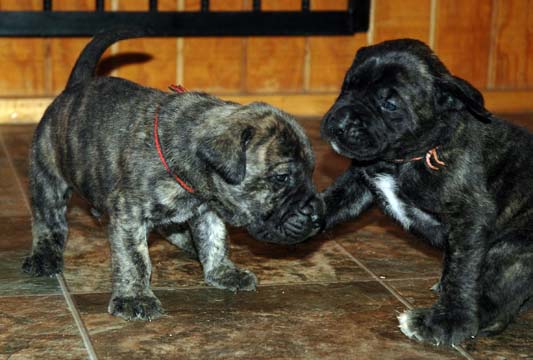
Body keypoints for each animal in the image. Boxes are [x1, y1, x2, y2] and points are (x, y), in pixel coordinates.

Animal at [22, 28, 322, 320]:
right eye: (281, 178)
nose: (318, 218)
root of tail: (75, 86)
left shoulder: (208, 208)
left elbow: (215, 240)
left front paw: (222, 272)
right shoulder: (130, 214)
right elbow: (135, 258)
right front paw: (135, 298)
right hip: (48, 176)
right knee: (49, 221)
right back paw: (44, 257)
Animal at [320, 39, 532, 346]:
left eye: (389, 103)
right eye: (347, 87)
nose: (337, 123)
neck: (408, 158)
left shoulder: (470, 217)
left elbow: (463, 271)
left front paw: (450, 321)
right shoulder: (359, 182)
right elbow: (328, 202)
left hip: (512, 248)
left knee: (496, 303)